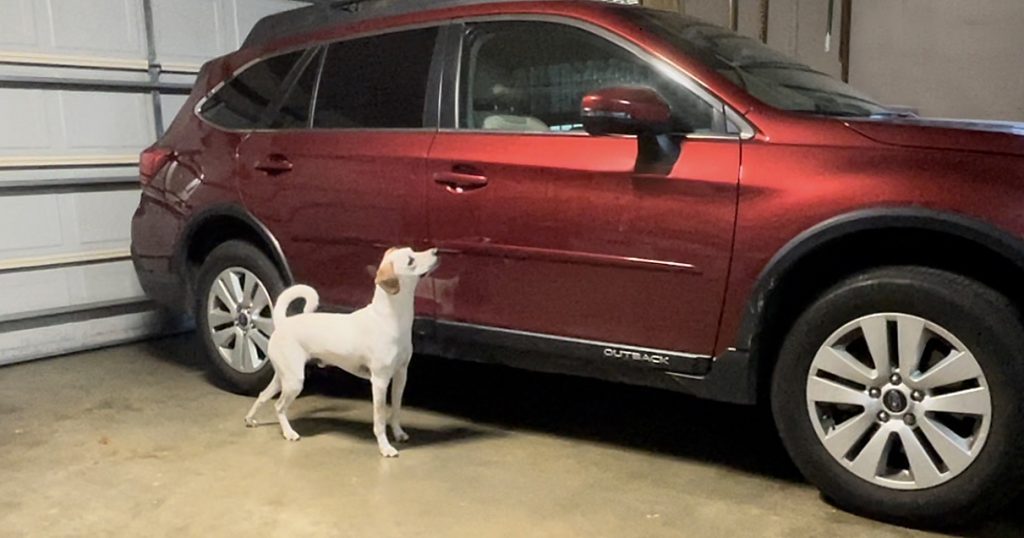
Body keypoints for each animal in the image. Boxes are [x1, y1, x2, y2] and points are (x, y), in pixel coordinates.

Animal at [248, 244, 444, 454]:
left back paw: (250, 419)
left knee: (263, 395)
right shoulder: (380, 381)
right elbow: (380, 420)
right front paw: (385, 447)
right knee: (279, 406)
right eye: (410, 261)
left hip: (283, 377)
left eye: (413, 251)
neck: (390, 319)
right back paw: (289, 433)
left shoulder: (401, 374)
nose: (436, 251)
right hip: (294, 381)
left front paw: (398, 433)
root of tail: (283, 323)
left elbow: (397, 409)